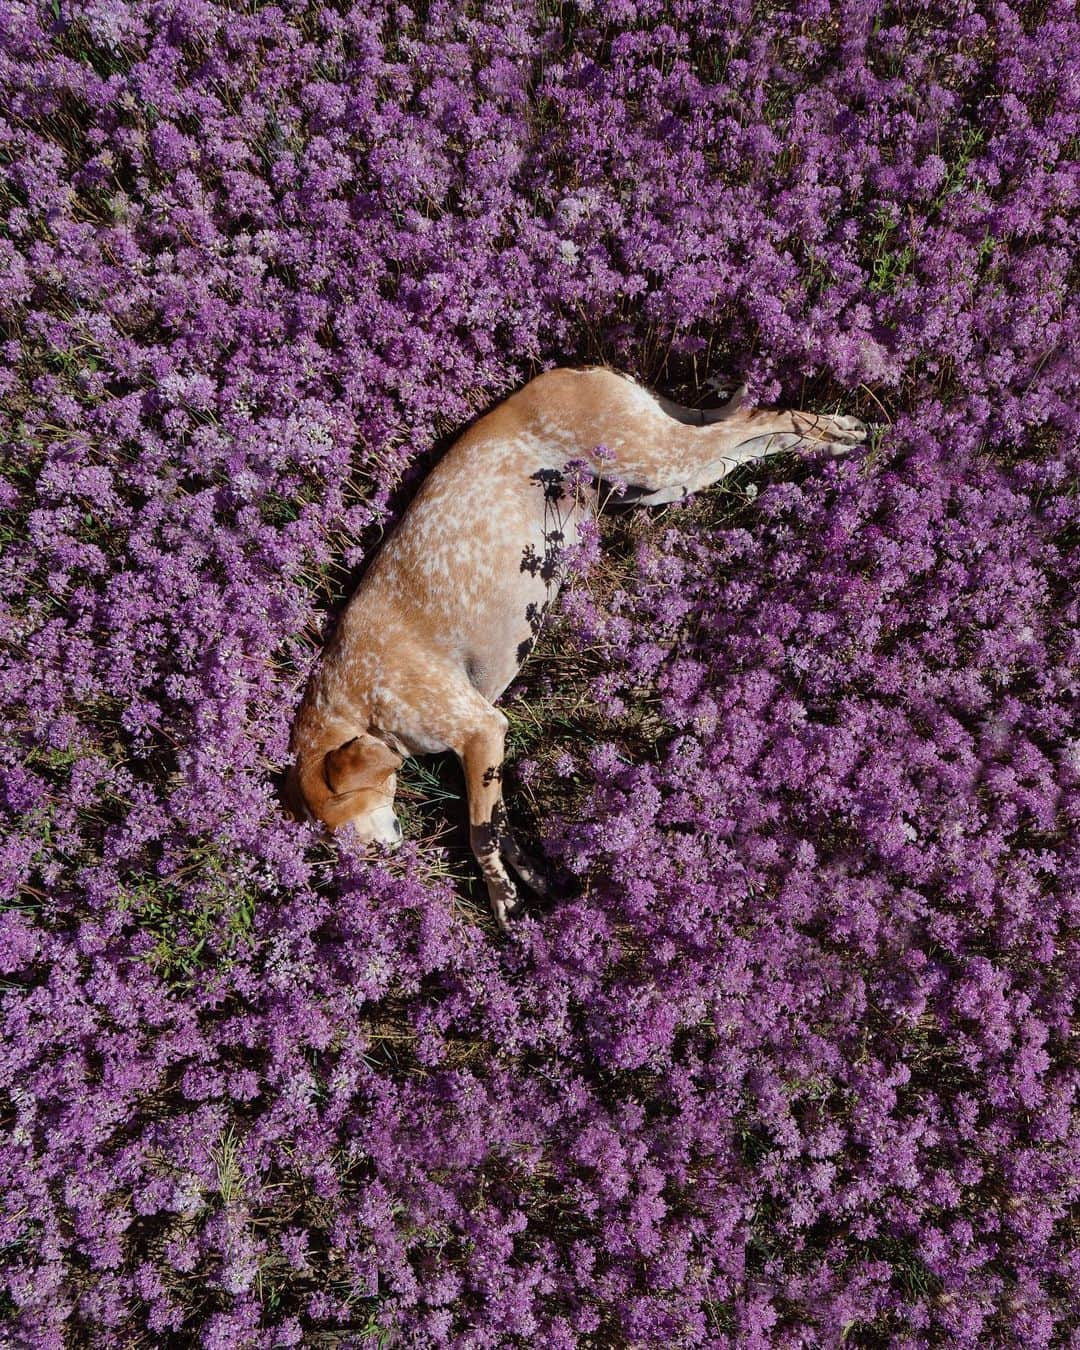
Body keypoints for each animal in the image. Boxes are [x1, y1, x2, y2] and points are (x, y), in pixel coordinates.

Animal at [282, 364, 864, 923]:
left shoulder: (480, 728)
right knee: (745, 439)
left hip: (654, 459)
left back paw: (838, 432)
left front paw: (502, 900)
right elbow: (500, 827)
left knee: (758, 418)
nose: (383, 877)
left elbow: (480, 835)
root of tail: (580, 370)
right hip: (662, 479)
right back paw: (824, 443)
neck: (354, 696)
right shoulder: (482, 751)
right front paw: (530, 878)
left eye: (356, 844)